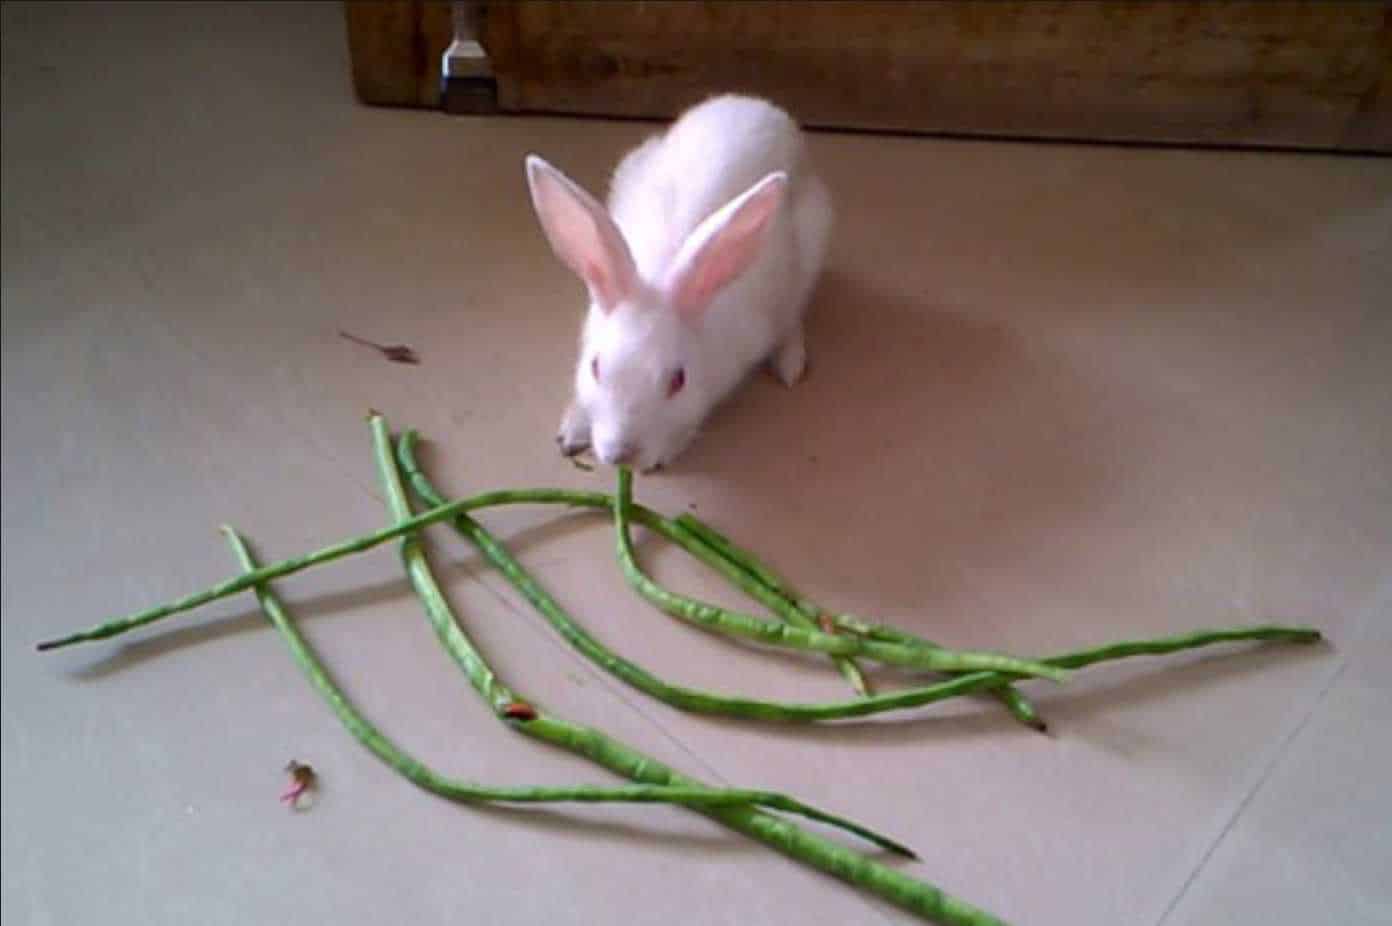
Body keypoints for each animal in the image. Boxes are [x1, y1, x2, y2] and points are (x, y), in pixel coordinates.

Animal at [520, 93, 824, 470]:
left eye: (678, 380)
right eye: (595, 367)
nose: (622, 455)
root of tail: (760, 105)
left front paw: (662, 455)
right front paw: (571, 432)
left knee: (792, 317)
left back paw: (790, 364)